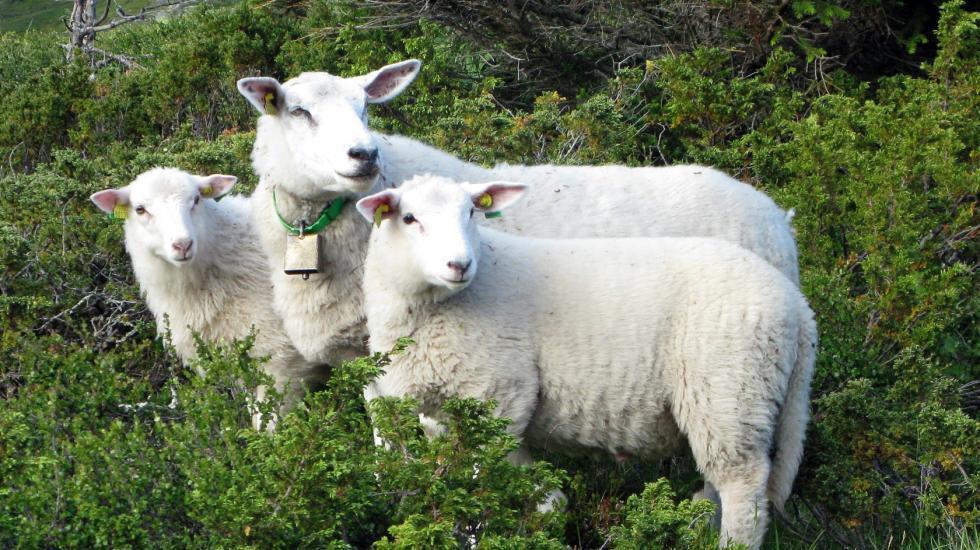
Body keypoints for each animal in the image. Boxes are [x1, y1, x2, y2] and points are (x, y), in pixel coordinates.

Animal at [356, 176, 816, 548]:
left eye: (472, 211)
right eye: (409, 217)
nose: (459, 264)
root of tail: (798, 305)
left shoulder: (499, 392)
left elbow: (485, 483)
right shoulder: (448, 411)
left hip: (729, 393)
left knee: (743, 490)